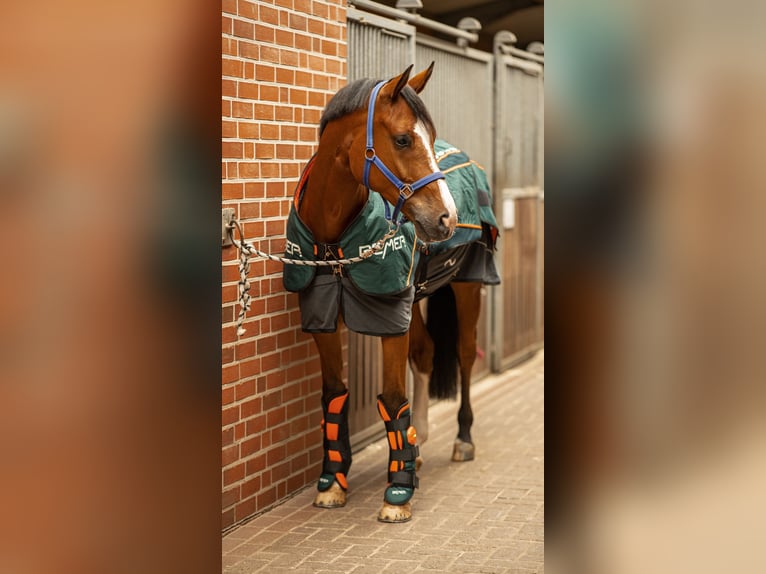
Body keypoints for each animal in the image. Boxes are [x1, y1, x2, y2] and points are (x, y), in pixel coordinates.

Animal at [282, 64, 499, 523]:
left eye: (429, 137)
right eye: (403, 139)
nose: (446, 218)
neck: (334, 240)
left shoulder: (389, 320)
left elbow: (394, 398)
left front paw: (397, 491)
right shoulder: (324, 321)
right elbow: (334, 396)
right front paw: (333, 482)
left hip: (467, 287)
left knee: (464, 355)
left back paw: (462, 439)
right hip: (413, 300)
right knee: (427, 352)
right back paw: (421, 443)